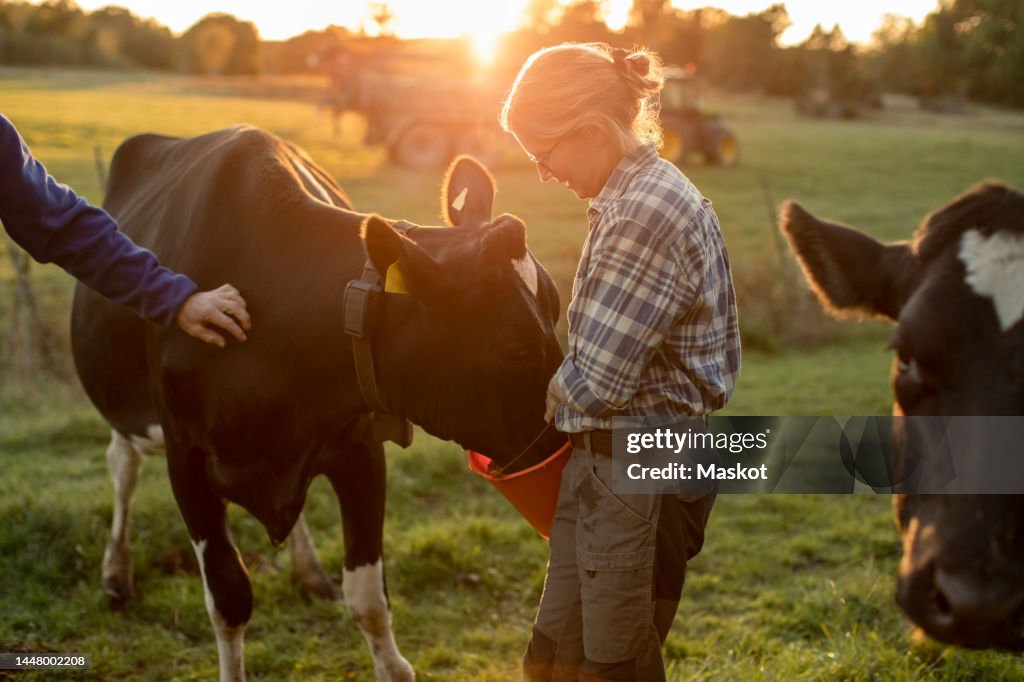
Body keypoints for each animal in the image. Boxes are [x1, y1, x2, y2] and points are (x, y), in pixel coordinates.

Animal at [70, 125, 568, 681]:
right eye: (516, 349)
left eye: (557, 309)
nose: (566, 444)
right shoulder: (187, 459)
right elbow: (229, 597)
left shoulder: (359, 449)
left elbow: (368, 599)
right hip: (126, 408)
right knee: (123, 466)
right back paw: (116, 572)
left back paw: (307, 572)